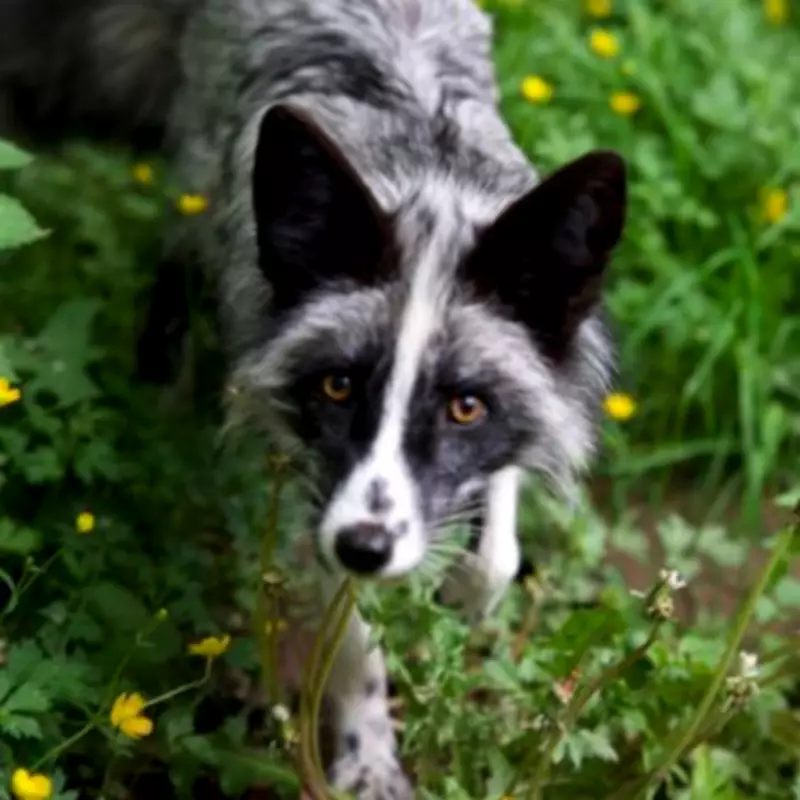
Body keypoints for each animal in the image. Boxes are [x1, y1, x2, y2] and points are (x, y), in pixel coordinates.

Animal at [0, 0, 628, 796]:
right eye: (338, 384)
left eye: (465, 406)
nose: (366, 547)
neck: (425, 175)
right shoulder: (306, 482)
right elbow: (351, 645)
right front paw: (368, 761)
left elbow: (498, 540)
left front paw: (468, 586)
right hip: (197, 183)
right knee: (176, 269)